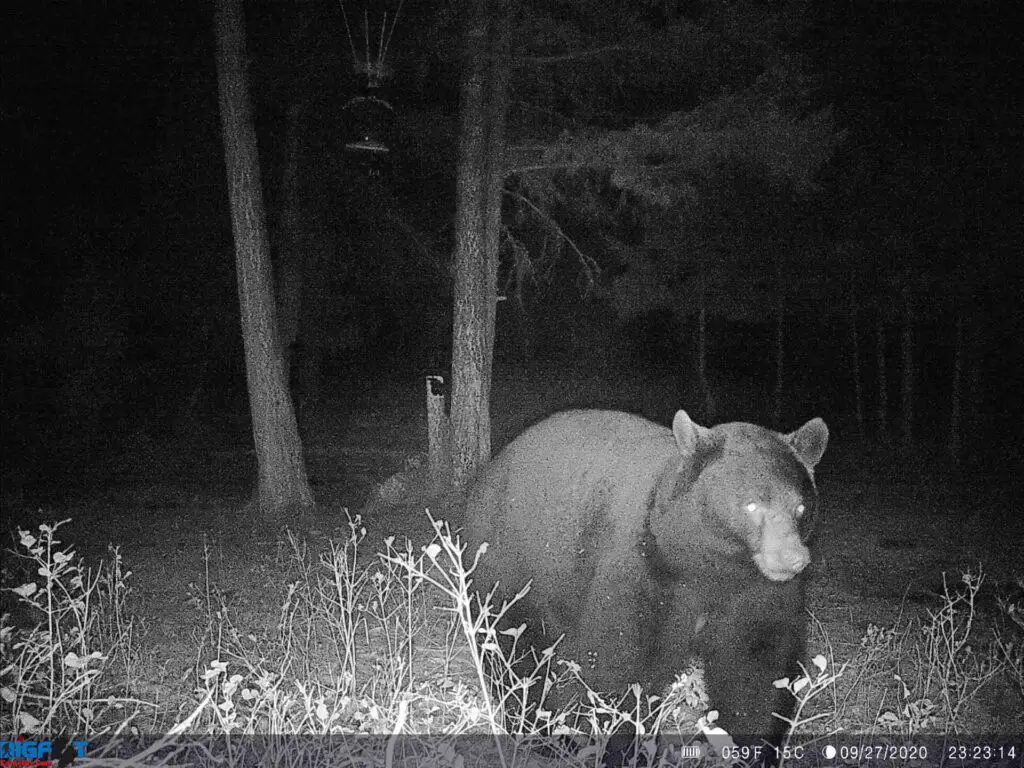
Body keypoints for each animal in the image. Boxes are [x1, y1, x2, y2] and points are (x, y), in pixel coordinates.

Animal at [464, 411, 831, 741]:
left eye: (800, 507)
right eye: (752, 505)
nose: (793, 558)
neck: (708, 567)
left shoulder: (756, 592)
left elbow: (757, 667)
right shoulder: (643, 568)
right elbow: (621, 662)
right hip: (514, 561)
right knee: (513, 646)